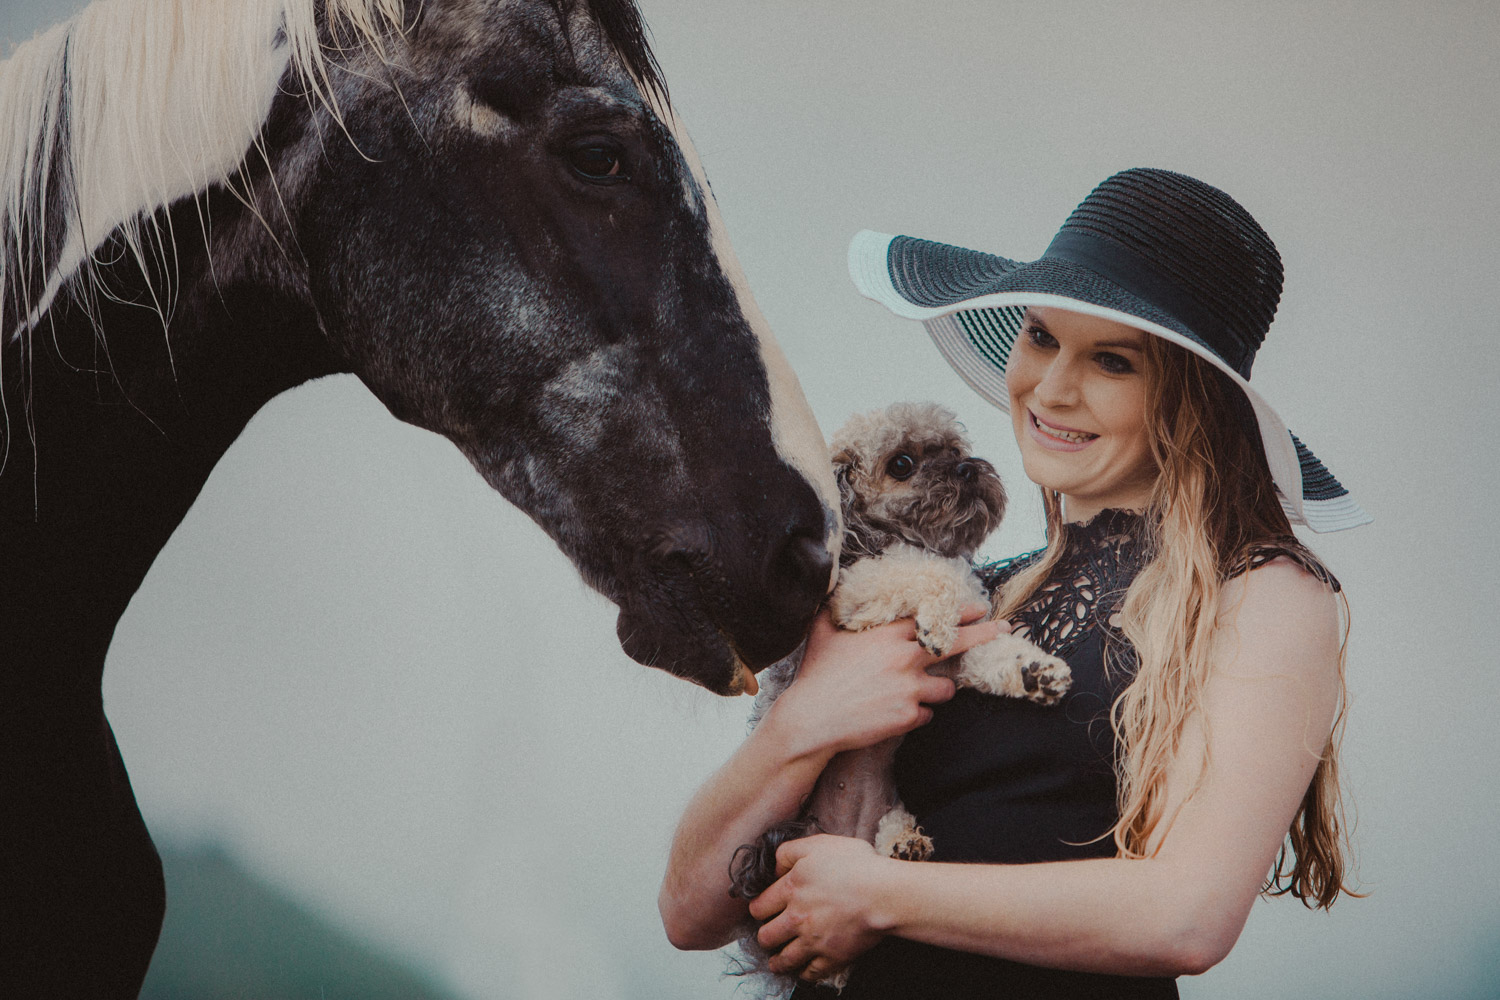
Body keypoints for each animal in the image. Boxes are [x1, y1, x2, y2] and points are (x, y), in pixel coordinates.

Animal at [729, 402, 1071, 993]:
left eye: (954, 450)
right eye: (902, 464)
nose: (967, 470)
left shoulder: (960, 660)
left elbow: (996, 654)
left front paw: (1035, 672)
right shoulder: (855, 598)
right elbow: (926, 573)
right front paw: (938, 618)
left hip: (885, 810)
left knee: (886, 834)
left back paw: (902, 844)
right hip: (787, 843)